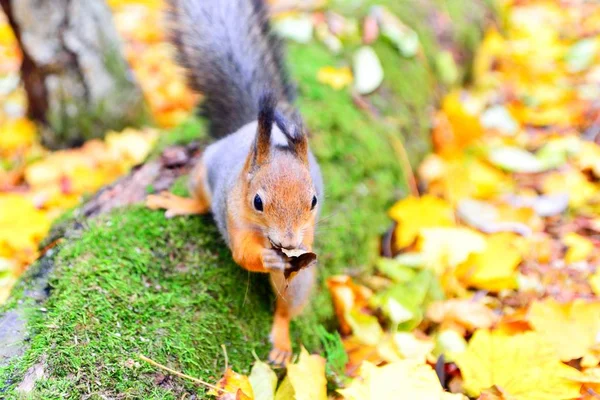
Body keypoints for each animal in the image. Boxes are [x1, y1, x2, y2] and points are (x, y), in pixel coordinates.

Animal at [145, 0, 324, 366]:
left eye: (313, 201)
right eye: (257, 201)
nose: (288, 242)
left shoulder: (308, 231)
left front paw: (293, 256)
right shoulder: (234, 215)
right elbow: (243, 254)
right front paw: (266, 258)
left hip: (295, 289)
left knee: (287, 306)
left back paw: (282, 342)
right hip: (201, 174)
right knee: (200, 203)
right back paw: (180, 203)